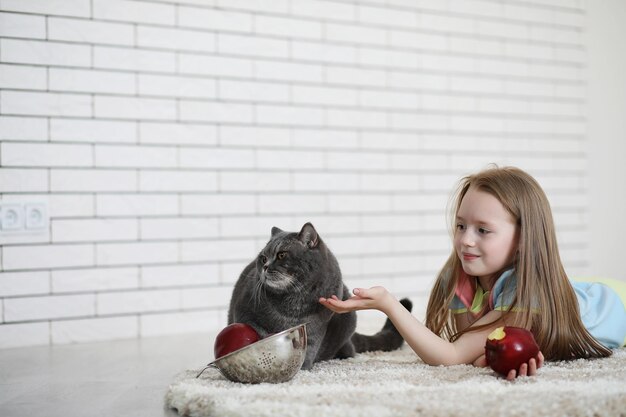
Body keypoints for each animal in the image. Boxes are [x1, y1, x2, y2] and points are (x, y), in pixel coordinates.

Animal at [227, 223, 412, 368]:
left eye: (281, 255)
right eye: (263, 258)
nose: (265, 266)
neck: (295, 299)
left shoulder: (317, 326)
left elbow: (309, 347)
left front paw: (302, 366)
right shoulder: (244, 312)